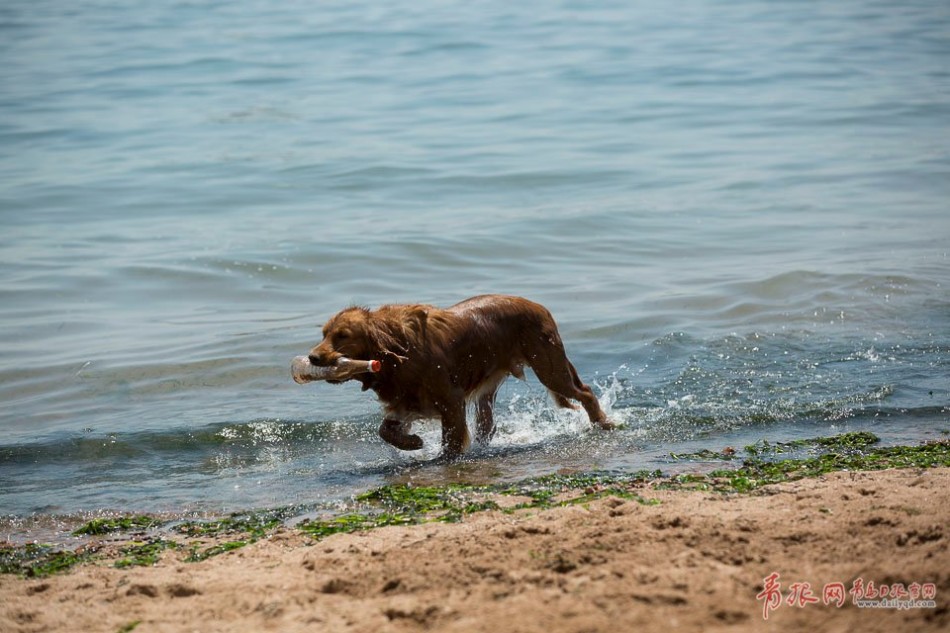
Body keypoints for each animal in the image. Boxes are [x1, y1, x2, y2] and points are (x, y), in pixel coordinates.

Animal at [308, 294, 612, 456]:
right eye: (324, 334)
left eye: (343, 336)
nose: (312, 357)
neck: (398, 350)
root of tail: (541, 307)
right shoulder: (405, 401)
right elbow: (385, 430)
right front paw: (413, 443)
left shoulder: (450, 400)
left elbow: (451, 440)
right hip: (487, 391)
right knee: (487, 426)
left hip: (549, 368)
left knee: (586, 393)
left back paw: (604, 423)